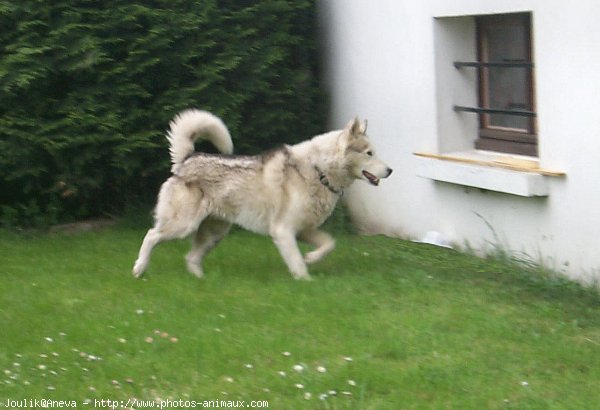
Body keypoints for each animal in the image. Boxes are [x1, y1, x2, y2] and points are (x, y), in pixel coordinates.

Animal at [133, 109, 392, 278]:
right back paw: (139, 269)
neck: (319, 171)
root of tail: (186, 159)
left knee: (191, 258)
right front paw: (306, 280)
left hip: (214, 234)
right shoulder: (283, 231)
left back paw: (201, 282)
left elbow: (329, 244)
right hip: (183, 226)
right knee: (151, 235)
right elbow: (298, 264)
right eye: (369, 153)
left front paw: (311, 258)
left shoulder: (305, 230)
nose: (390, 170)